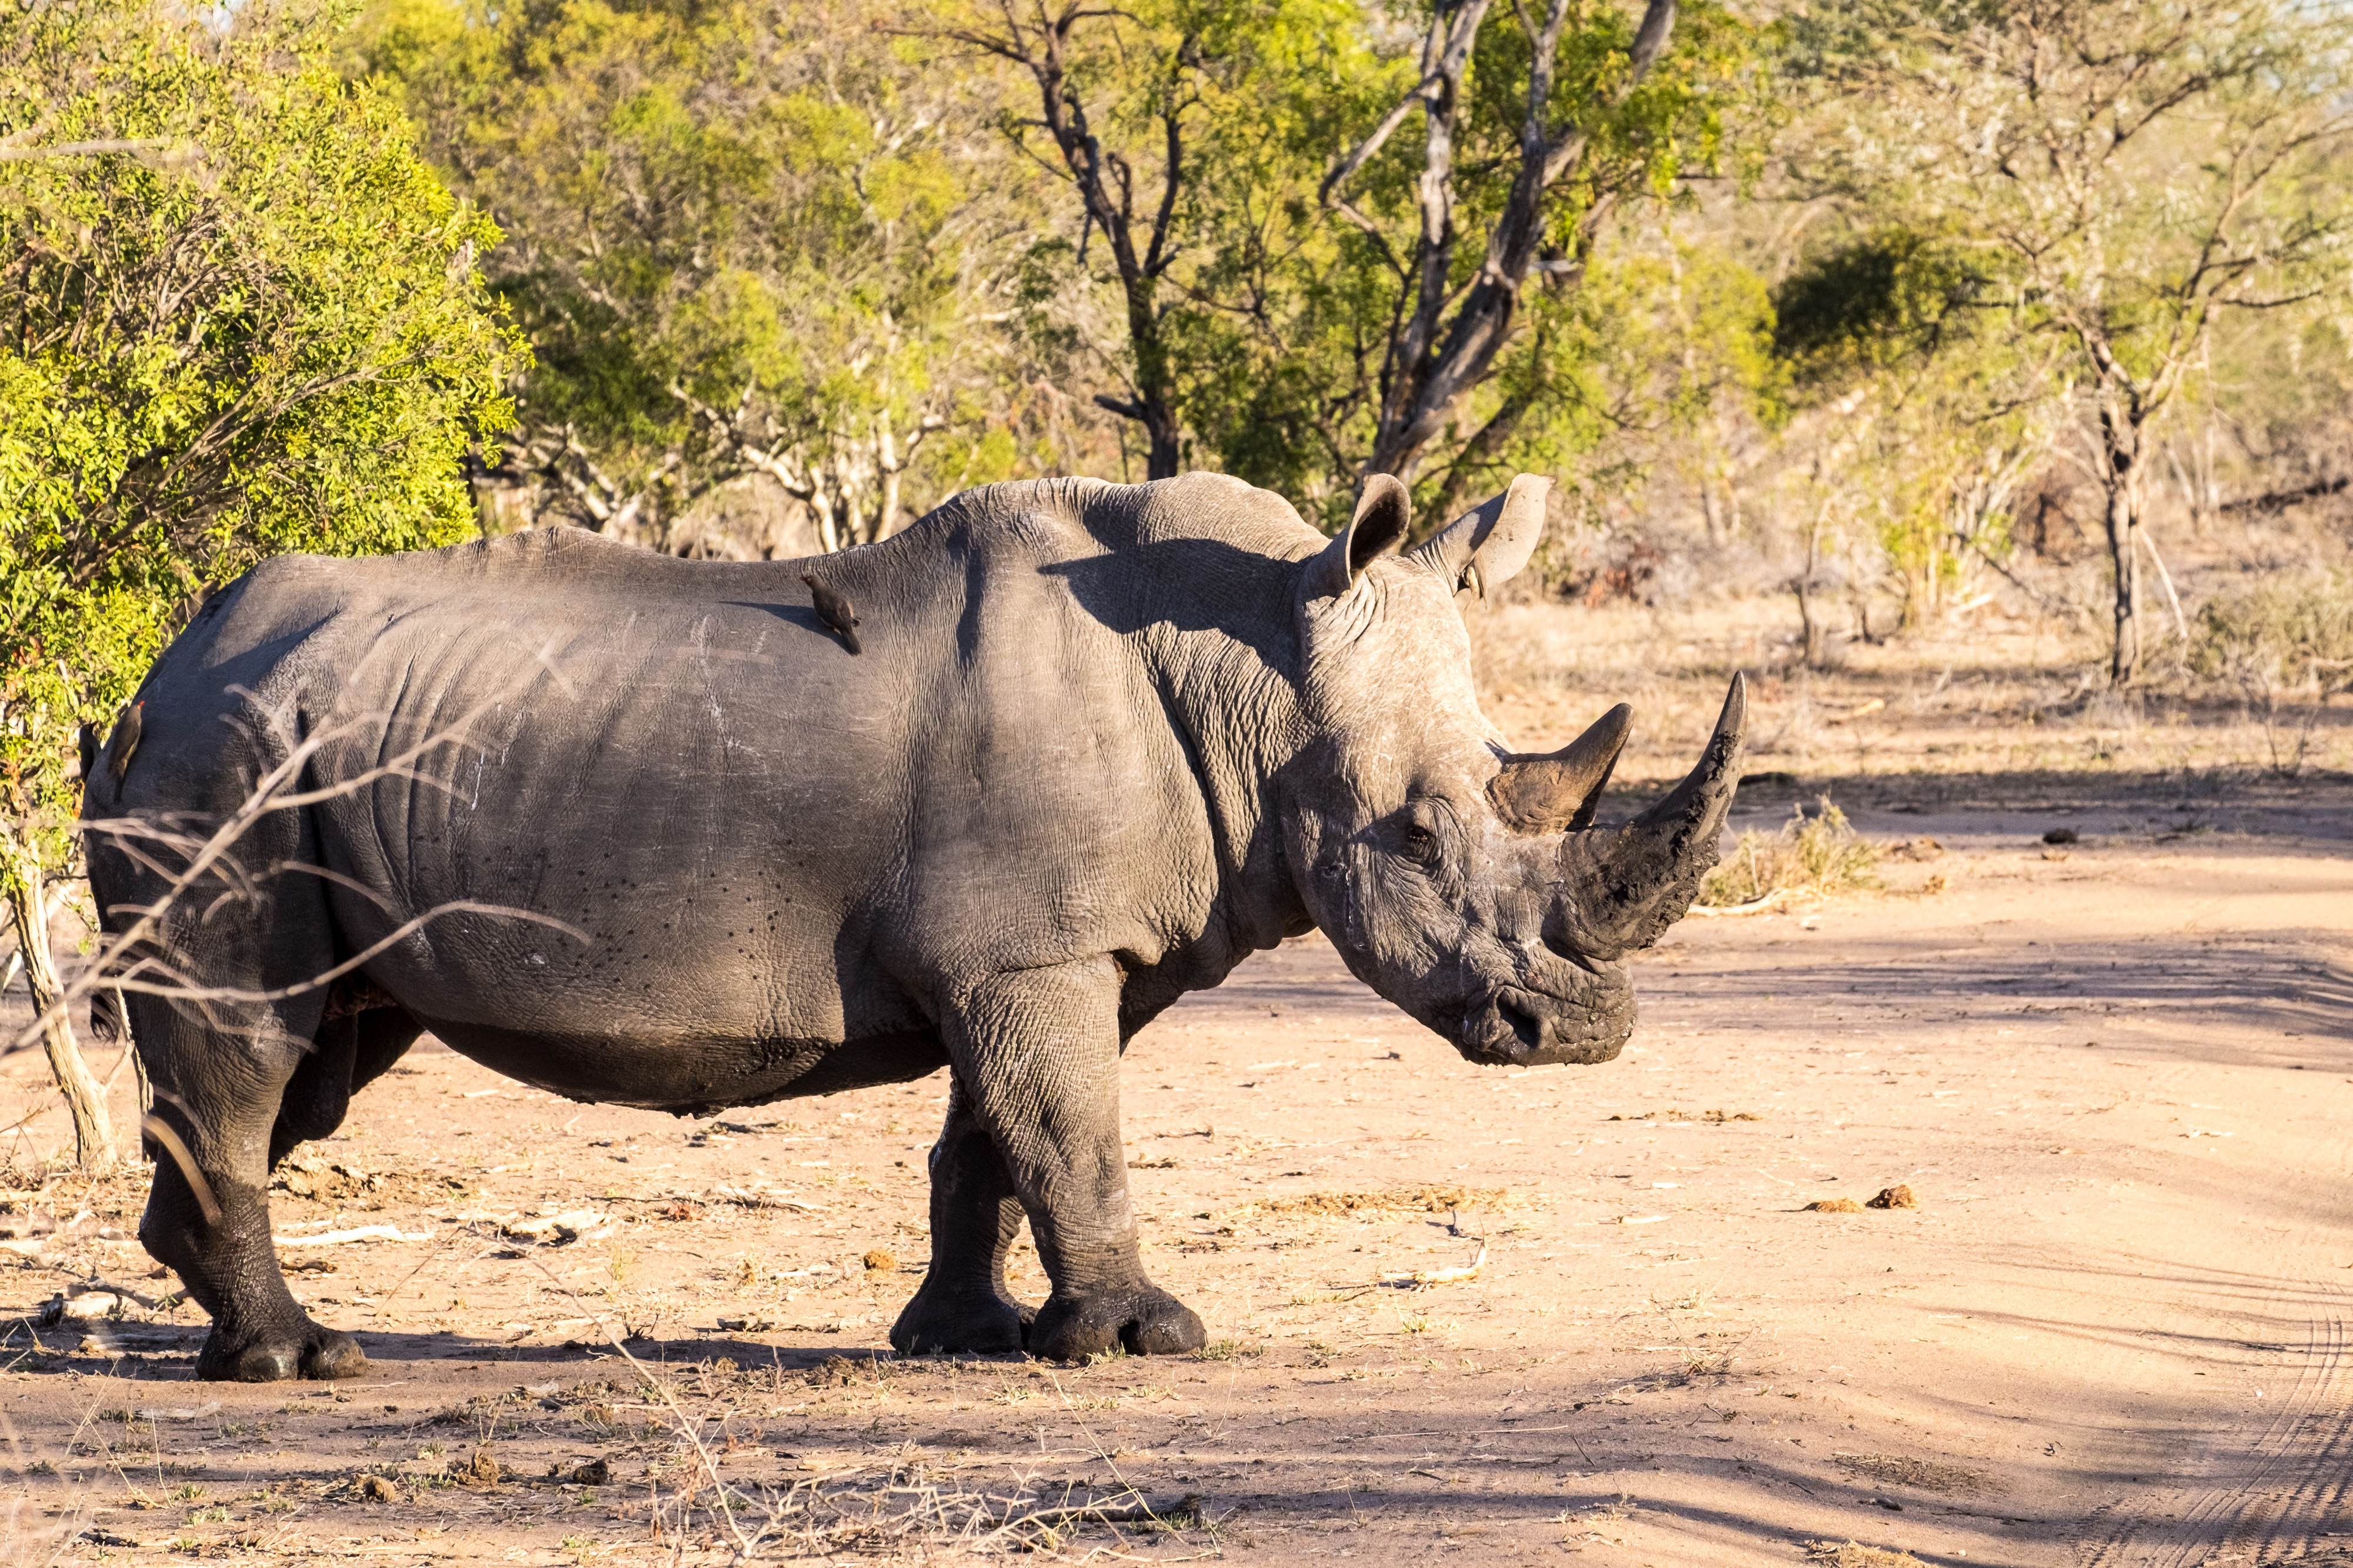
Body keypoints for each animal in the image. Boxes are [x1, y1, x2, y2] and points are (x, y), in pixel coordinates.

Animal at [83, 470, 1744, 1382]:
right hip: (224, 761)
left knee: (315, 1060)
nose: (1582, 1031)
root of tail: (159, 664)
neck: (1258, 663)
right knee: (254, 1046)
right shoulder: (1032, 949)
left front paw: (968, 1335)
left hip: (286, 752)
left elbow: (994, 1139)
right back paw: (298, 1360)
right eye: (1412, 832)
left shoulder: (1037, 950)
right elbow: (1072, 1129)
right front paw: (1147, 1338)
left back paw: (234, 1329)